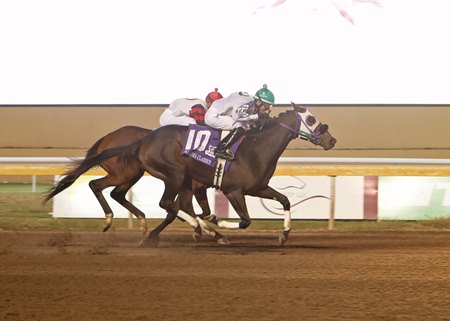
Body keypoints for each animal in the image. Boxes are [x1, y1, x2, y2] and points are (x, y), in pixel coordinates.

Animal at [61, 103, 334, 245]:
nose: (331, 139)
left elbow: (285, 200)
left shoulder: (257, 188)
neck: (255, 148)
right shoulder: (232, 191)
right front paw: (216, 226)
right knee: (162, 202)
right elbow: (243, 220)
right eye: (311, 118)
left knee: (127, 195)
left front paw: (284, 234)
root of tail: (144, 140)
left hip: (150, 176)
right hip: (171, 173)